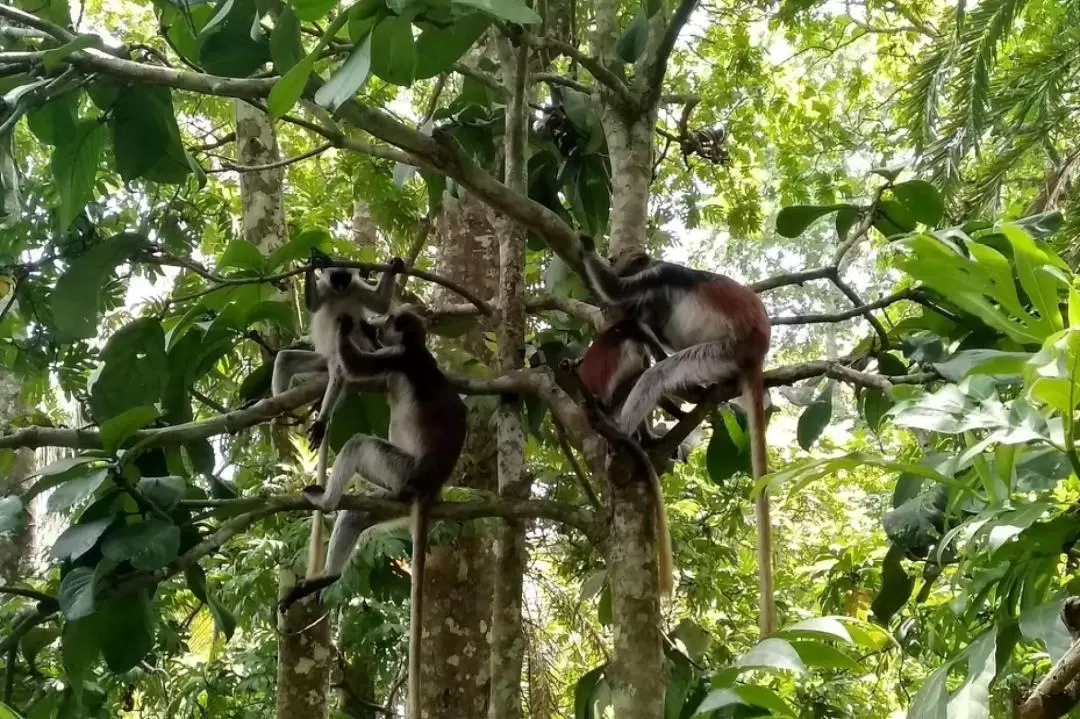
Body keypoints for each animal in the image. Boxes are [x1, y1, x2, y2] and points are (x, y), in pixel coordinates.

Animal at [278, 308, 464, 716]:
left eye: (389, 323)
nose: (377, 327)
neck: (416, 349)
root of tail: (428, 487)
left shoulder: (398, 358)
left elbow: (354, 366)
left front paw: (348, 323)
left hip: (399, 469)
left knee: (360, 444)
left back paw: (326, 502)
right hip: (394, 494)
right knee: (356, 517)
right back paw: (327, 576)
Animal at [578, 235, 773, 634]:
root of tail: (757, 347)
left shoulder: (659, 275)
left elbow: (616, 289)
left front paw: (584, 245)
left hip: (721, 350)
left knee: (659, 372)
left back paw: (620, 432)